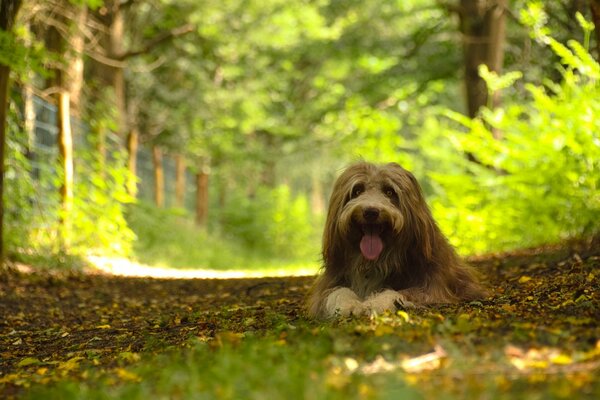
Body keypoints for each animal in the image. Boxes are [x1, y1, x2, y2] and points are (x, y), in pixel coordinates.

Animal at [308, 162, 486, 318]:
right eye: (357, 190)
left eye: (389, 192)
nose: (370, 212)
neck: (374, 262)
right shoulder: (330, 282)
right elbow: (337, 291)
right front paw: (349, 304)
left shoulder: (432, 286)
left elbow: (398, 293)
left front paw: (374, 303)